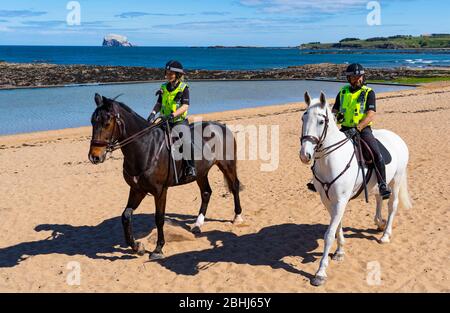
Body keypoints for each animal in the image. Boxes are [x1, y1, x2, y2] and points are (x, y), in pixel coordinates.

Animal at [87, 93, 243, 258]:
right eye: (92, 121)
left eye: (107, 123)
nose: (94, 156)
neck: (146, 147)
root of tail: (221, 126)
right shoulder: (137, 190)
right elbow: (126, 216)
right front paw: (137, 246)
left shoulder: (160, 191)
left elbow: (159, 218)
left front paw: (158, 248)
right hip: (201, 173)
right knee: (206, 192)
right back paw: (197, 224)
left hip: (227, 165)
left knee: (234, 186)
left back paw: (237, 217)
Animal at [298, 90, 412, 286]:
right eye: (303, 118)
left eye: (321, 121)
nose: (305, 155)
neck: (330, 160)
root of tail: (397, 138)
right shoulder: (328, 200)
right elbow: (337, 226)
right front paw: (340, 252)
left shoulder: (341, 200)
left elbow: (329, 234)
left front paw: (320, 272)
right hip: (379, 183)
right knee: (379, 197)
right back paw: (379, 223)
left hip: (396, 180)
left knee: (393, 205)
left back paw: (385, 234)